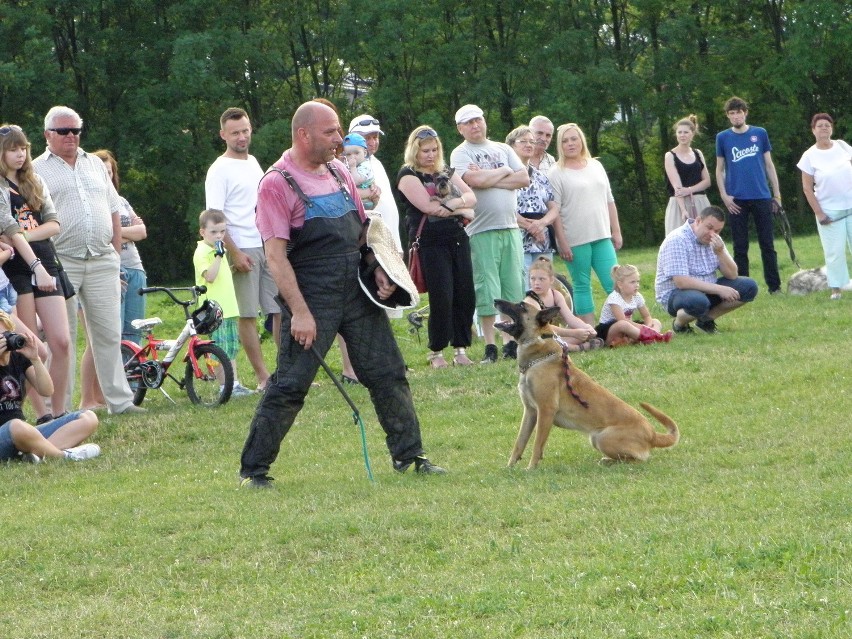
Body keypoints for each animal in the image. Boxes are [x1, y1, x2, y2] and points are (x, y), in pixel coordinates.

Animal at [492, 300, 680, 470]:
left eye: (521, 306)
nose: (495, 300)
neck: (539, 356)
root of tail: (653, 435)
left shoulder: (545, 411)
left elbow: (537, 445)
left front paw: (531, 468)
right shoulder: (530, 412)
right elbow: (519, 442)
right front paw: (509, 467)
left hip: (601, 438)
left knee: (639, 459)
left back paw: (609, 461)